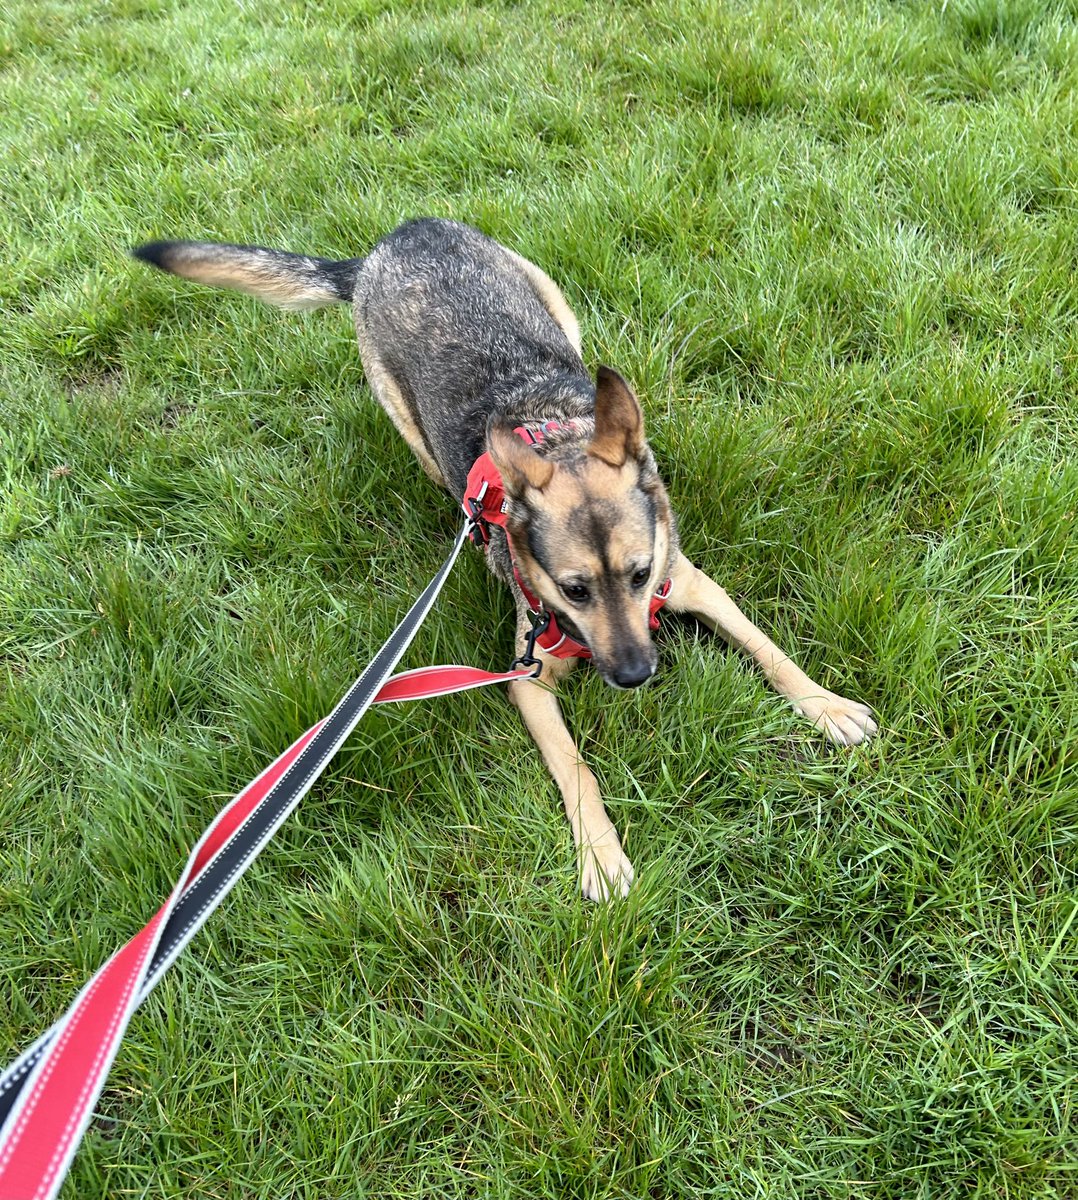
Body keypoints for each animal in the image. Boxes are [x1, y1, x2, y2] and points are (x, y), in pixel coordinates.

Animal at [134, 220, 873, 902]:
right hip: (403, 414)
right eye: (573, 591)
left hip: (551, 299)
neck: (558, 438)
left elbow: (770, 650)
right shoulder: (528, 679)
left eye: (638, 576)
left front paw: (826, 705)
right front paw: (599, 853)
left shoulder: (693, 584)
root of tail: (396, 237)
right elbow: (576, 768)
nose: (636, 676)